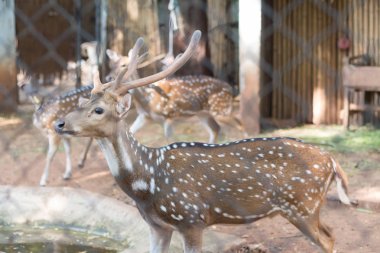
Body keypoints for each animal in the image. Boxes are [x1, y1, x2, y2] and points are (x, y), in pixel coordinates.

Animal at [55, 31, 356, 253]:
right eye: (82, 102)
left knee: (328, 239)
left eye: (99, 110)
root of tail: (332, 161)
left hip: (302, 206)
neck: (146, 183)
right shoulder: (156, 225)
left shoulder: (191, 219)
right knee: (331, 234)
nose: (60, 123)